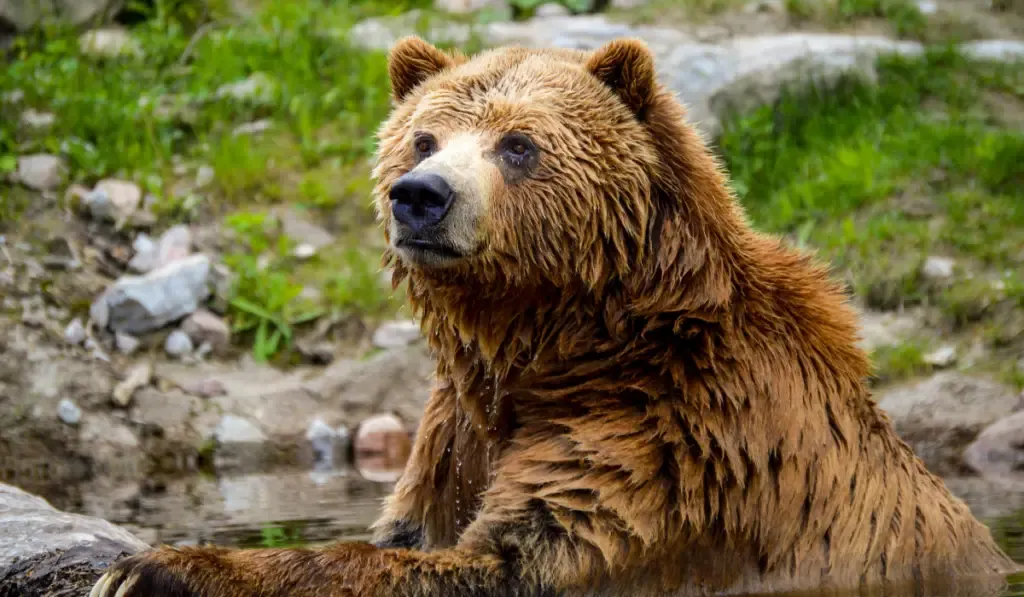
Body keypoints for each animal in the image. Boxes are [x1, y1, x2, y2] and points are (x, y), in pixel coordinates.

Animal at [94, 36, 1015, 597]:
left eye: (519, 144)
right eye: (423, 138)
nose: (419, 197)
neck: (557, 335)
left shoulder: (663, 439)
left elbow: (508, 558)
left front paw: (154, 566)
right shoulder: (458, 433)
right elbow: (414, 531)